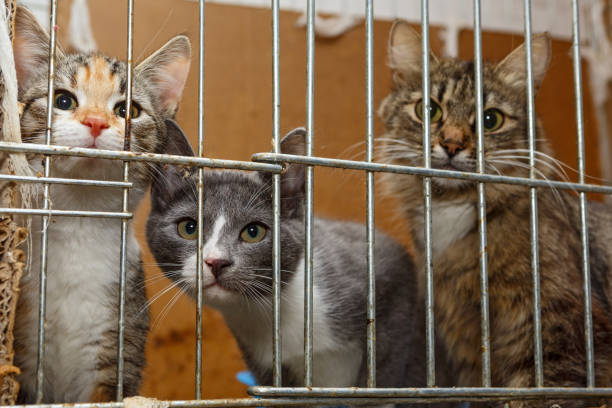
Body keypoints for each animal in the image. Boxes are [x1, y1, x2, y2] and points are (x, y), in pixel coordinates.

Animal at [146, 121, 448, 402]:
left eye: (253, 232)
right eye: (189, 228)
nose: (216, 261)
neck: (268, 312)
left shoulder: (390, 273)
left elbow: (383, 377)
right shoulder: (264, 366)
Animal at [380, 20, 612, 408]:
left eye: (491, 120)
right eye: (429, 110)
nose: (452, 144)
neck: (451, 207)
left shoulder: (555, 323)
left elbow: (540, 391)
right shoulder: (465, 340)